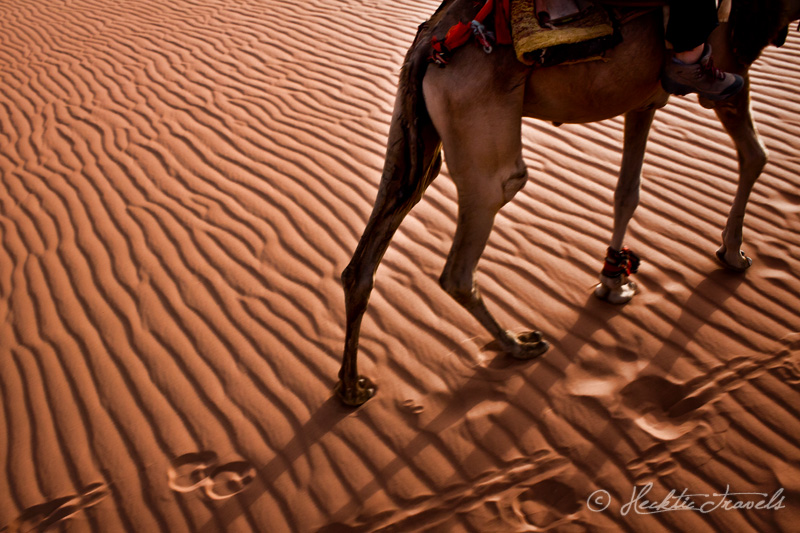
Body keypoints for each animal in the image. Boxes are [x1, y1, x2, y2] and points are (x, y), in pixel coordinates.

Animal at [334, 0, 796, 406]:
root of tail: (432, 39)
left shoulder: (643, 99)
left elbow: (628, 191)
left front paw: (613, 279)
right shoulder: (733, 64)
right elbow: (756, 155)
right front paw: (732, 254)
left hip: (416, 132)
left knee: (365, 258)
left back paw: (352, 387)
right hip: (478, 135)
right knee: (464, 259)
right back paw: (520, 345)